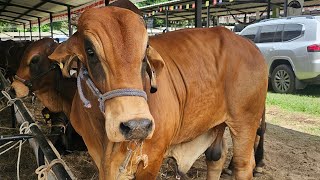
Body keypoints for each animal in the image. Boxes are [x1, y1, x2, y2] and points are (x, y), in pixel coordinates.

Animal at [47, 4, 268, 179]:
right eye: (90, 51)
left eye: (145, 50)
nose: (137, 126)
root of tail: (249, 44)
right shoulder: (99, 158)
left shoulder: (152, 158)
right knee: (216, 158)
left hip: (245, 121)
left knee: (243, 166)